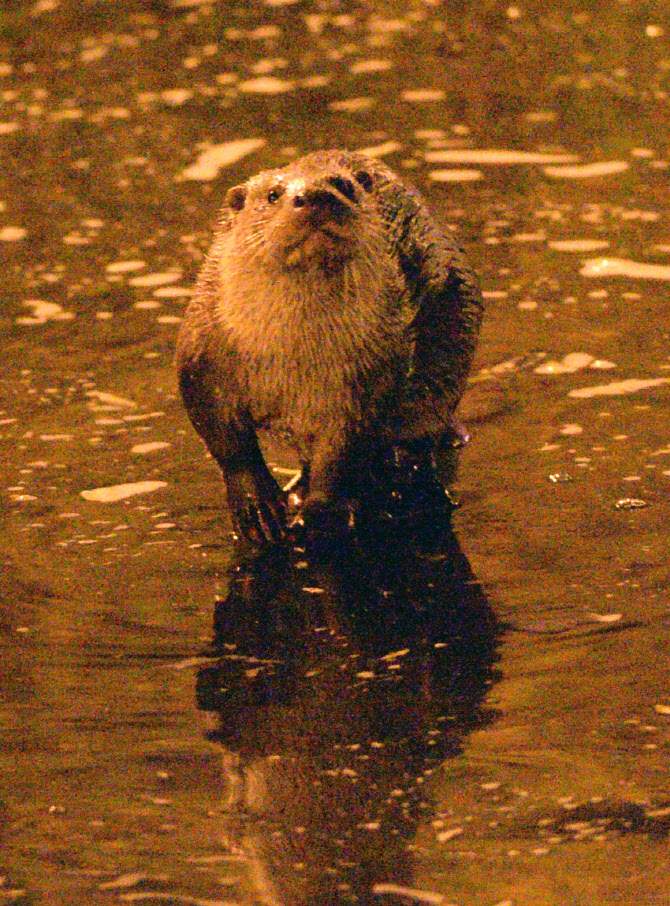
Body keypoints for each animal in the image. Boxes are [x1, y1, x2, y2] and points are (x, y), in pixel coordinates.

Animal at [176, 150, 486, 544]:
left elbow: (343, 453)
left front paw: (321, 513)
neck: (290, 358)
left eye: (343, 184)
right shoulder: (202, 358)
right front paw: (256, 505)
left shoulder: (369, 378)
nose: (315, 195)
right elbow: (227, 443)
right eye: (273, 194)